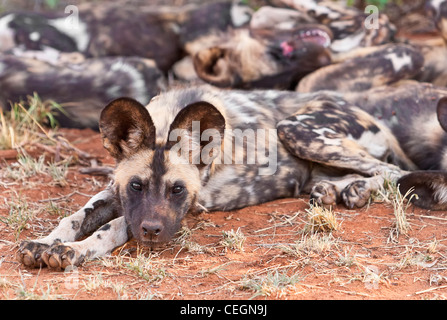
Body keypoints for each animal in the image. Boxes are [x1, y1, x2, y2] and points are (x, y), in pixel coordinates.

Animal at [17, 80, 447, 270]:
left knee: (394, 169)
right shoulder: (115, 194)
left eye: (177, 190)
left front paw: (73, 251)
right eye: (136, 185)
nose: (152, 232)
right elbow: (75, 218)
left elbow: (110, 228)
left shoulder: (182, 211)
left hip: (300, 130)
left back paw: (356, 188)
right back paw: (333, 189)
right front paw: (47, 242)